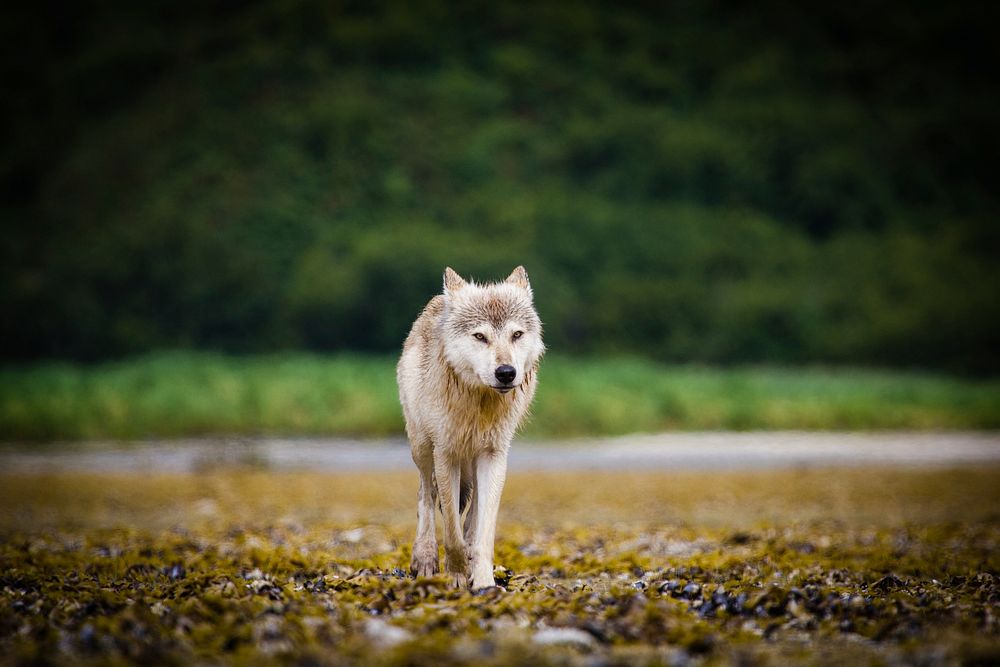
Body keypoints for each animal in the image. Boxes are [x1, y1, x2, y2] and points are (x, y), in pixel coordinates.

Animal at [396, 266, 548, 588]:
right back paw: (424, 558)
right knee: (426, 496)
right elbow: (451, 531)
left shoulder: (494, 455)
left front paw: (483, 581)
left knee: (472, 513)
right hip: (422, 449)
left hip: (478, 461)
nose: (506, 373)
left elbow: (483, 533)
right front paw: (455, 574)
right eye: (480, 336)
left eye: (516, 334)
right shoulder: (446, 455)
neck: (480, 404)